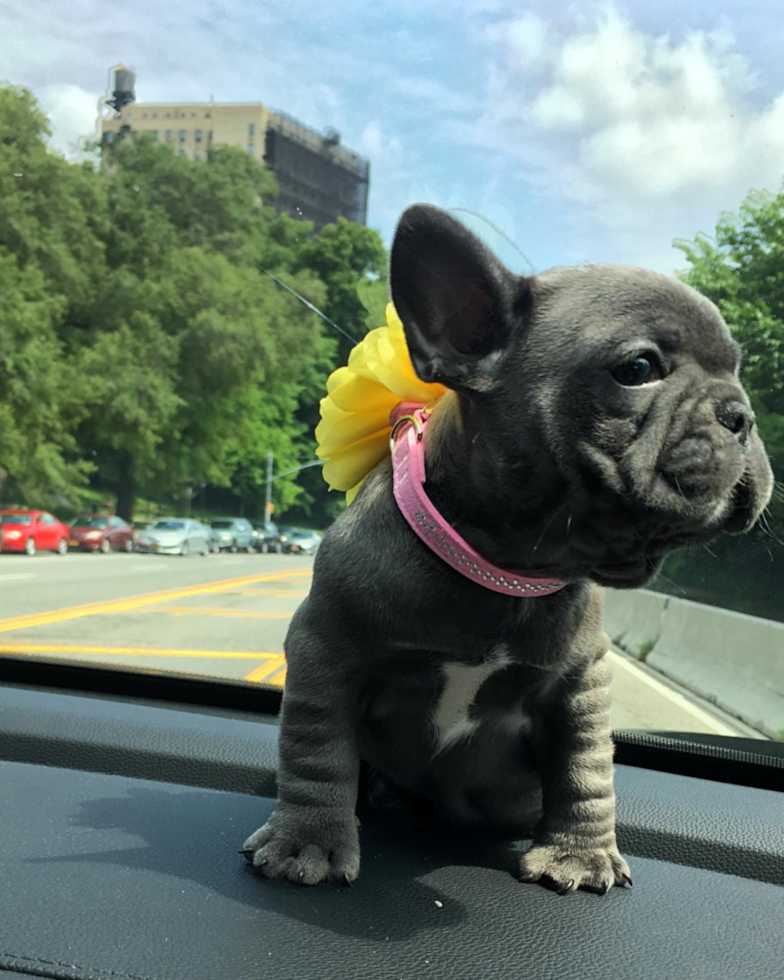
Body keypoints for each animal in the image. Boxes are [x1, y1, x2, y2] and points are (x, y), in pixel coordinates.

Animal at [243, 203, 772, 892]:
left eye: (738, 373)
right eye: (638, 369)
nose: (742, 415)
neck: (506, 570)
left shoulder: (580, 683)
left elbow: (584, 766)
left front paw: (579, 853)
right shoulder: (327, 653)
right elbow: (318, 748)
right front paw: (307, 841)